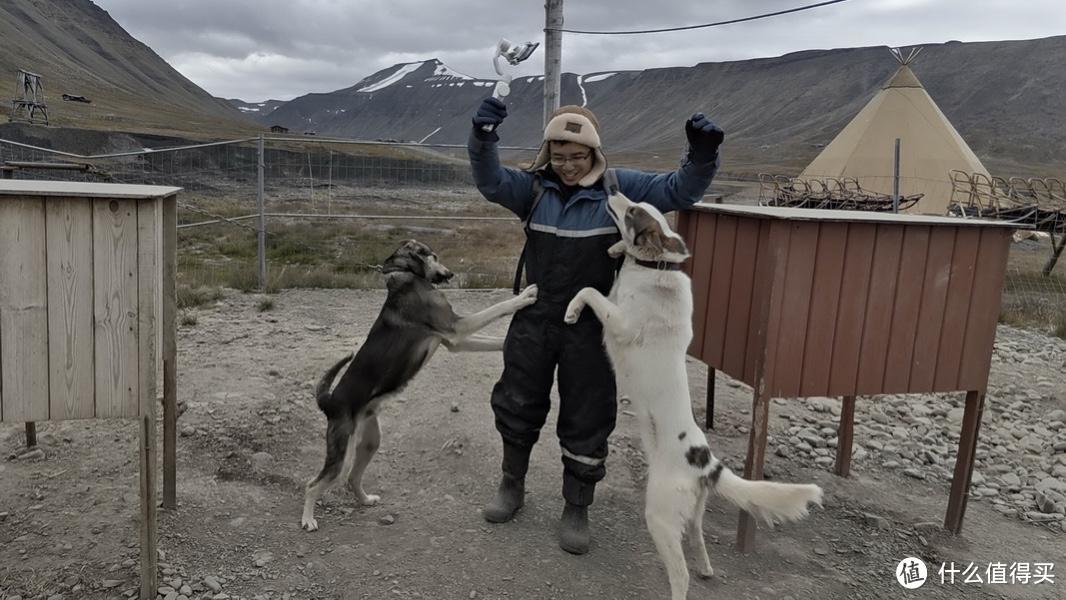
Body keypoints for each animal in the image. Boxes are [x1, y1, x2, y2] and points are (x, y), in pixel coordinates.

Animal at [567, 196, 822, 600]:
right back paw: (706, 568)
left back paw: (687, 580)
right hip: (691, 513)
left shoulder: (620, 321)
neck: (653, 268)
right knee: (698, 538)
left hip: (659, 516)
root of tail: (706, 462)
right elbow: (598, 285)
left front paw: (571, 310)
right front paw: (615, 250)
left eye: (632, 211)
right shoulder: (616, 300)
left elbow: (589, 290)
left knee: (680, 574)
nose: (613, 189)